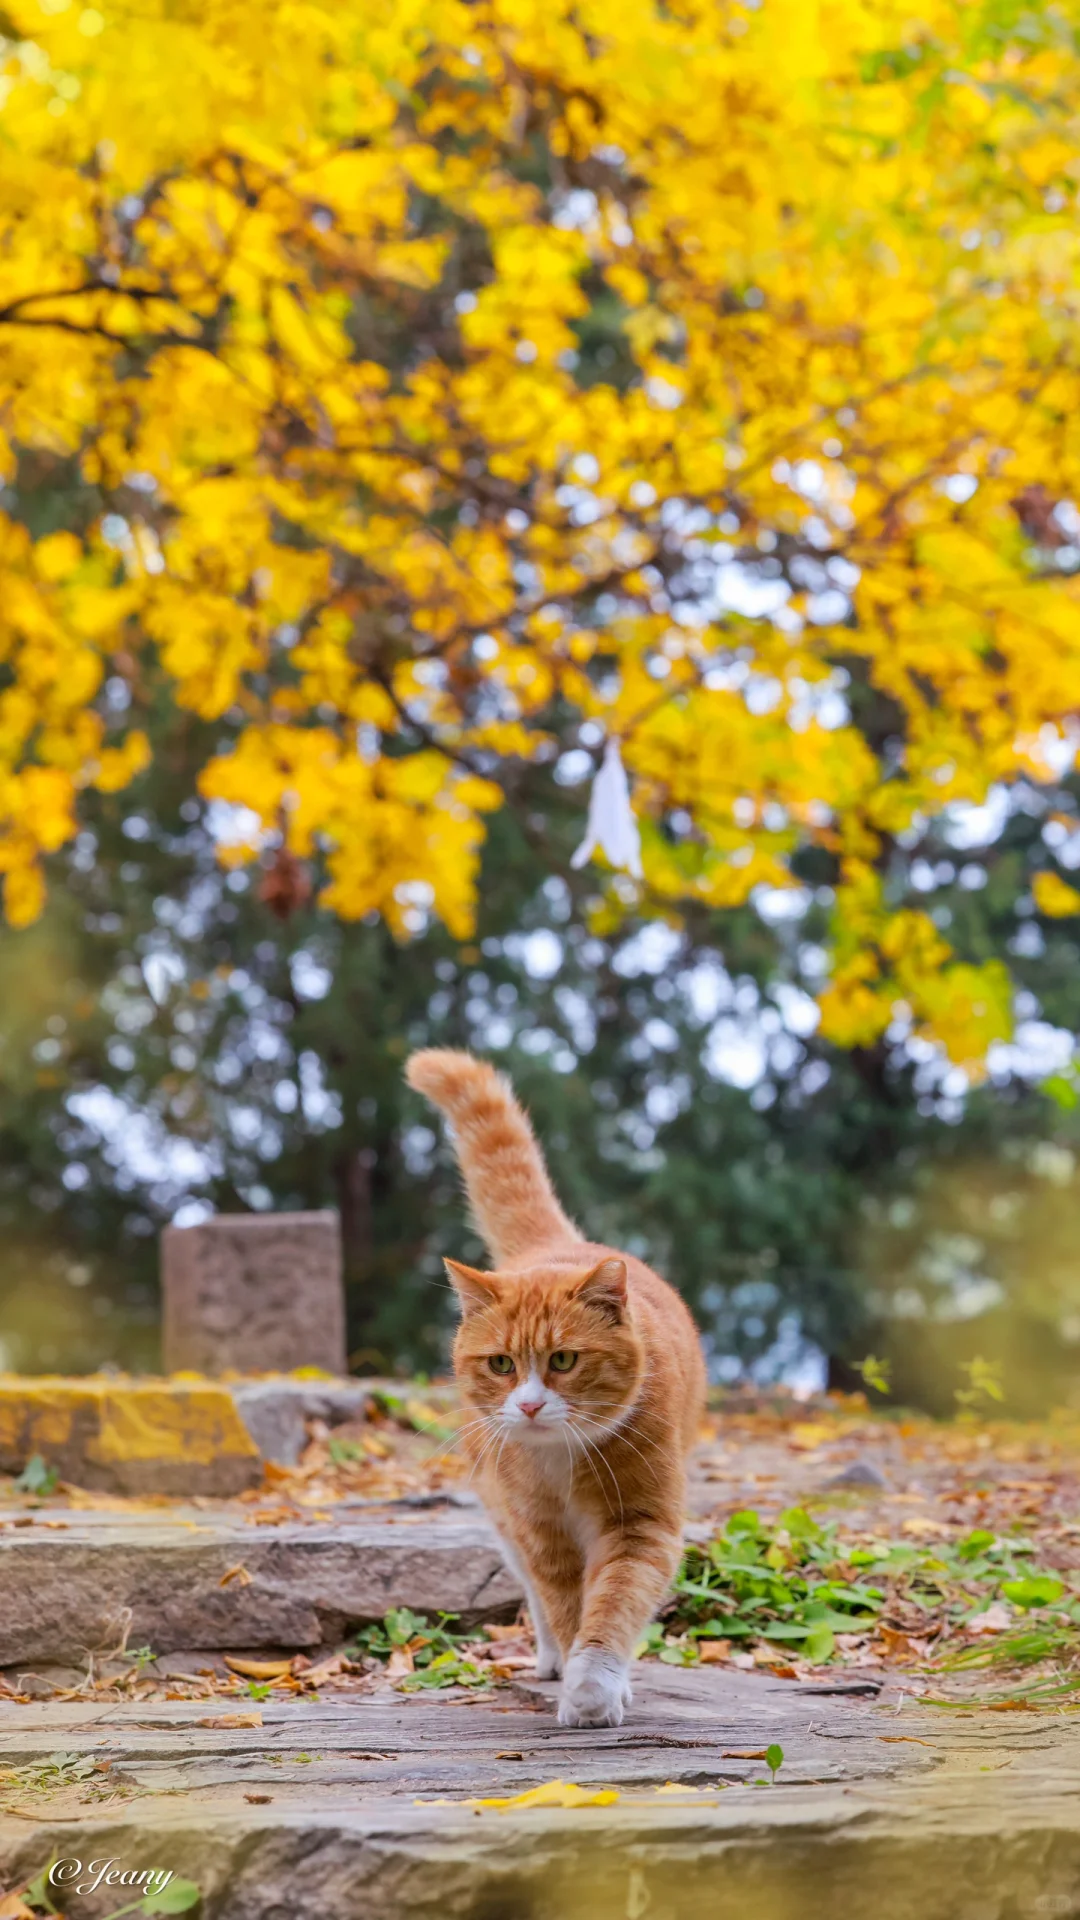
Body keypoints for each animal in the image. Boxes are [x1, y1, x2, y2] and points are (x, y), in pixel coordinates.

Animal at [405, 1044, 707, 1735]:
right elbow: (567, 1610)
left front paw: (596, 1688)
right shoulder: (541, 1534)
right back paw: (547, 1661)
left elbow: (612, 1606)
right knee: (536, 1600)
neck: (565, 1460)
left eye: (564, 1360)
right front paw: (576, 1680)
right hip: (502, 1518)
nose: (530, 1403)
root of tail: (557, 1245)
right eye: (500, 1365)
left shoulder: (638, 1527)